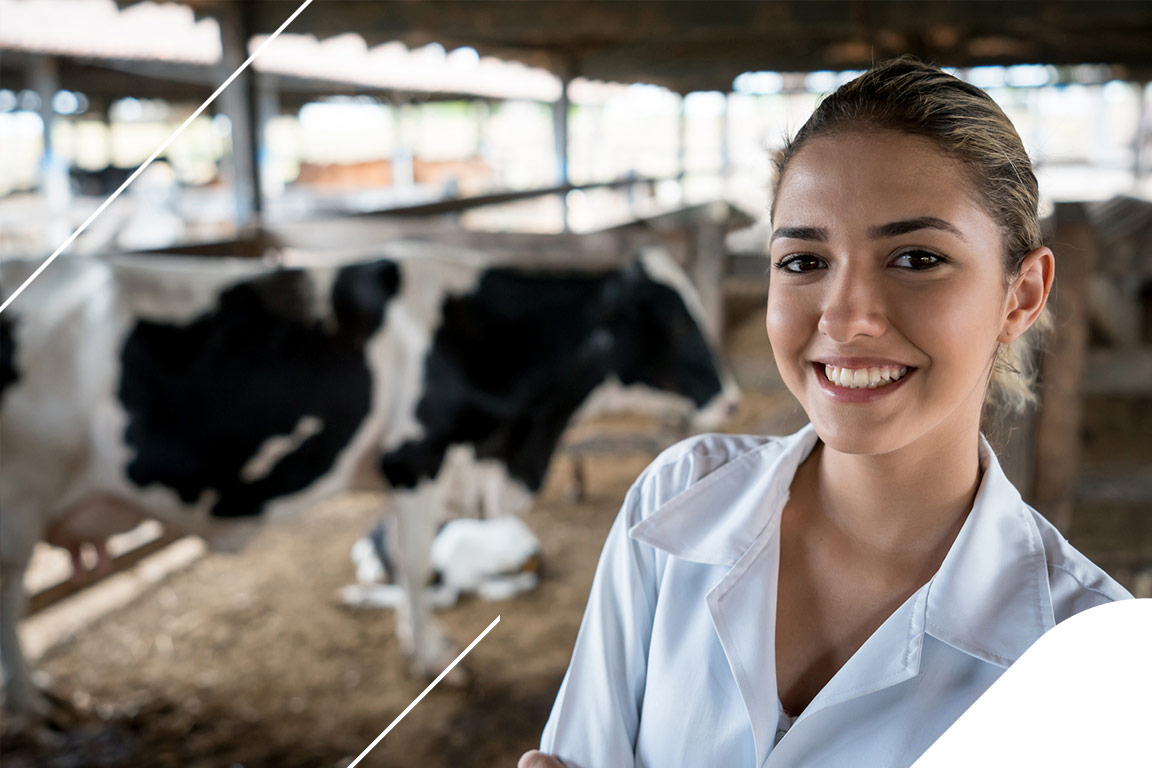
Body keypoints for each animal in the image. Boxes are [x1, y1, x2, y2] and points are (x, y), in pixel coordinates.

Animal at [0, 242, 737, 718]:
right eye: (672, 318)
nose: (730, 398)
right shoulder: (415, 458)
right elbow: (412, 562)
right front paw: (434, 657)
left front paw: (414, 641)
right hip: (19, 499)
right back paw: (30, 707)